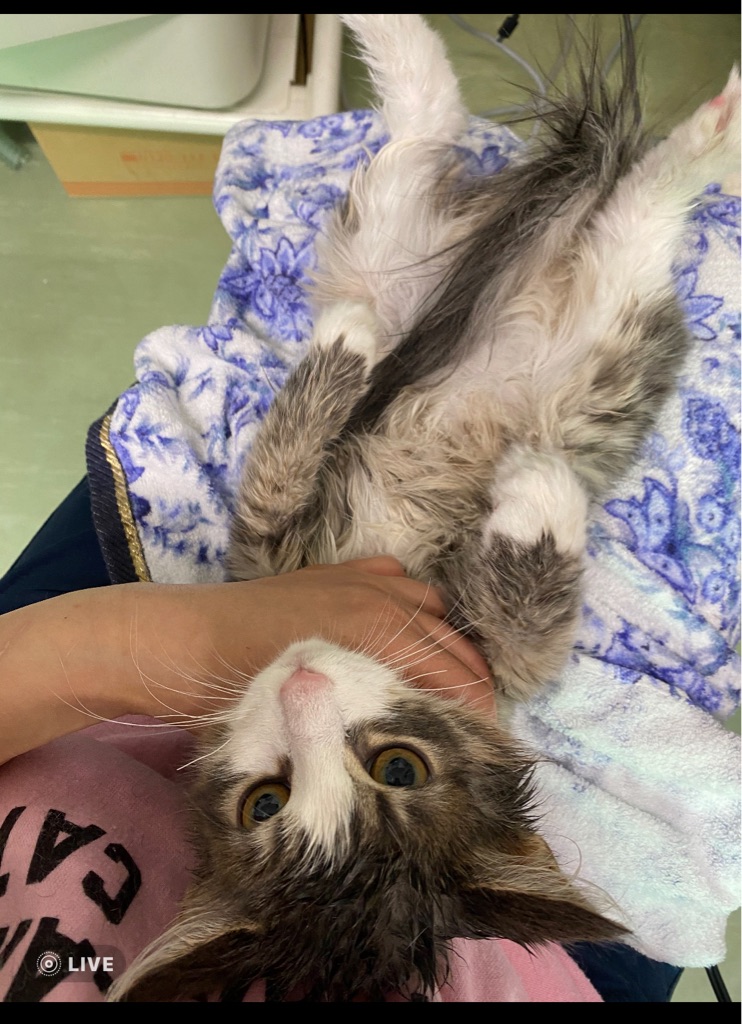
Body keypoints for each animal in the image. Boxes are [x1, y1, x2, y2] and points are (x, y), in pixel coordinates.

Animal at [109, 14, 741, 1002]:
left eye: (396, 769)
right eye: (266, 803)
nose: (303, 685)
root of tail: (548, 252)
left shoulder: (467, 649)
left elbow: (526, 628)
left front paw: (532, 482)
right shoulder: (275, 558)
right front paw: (531, 482)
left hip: (533, 308)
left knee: (548, 175)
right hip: (460, 267)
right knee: (496, 155)